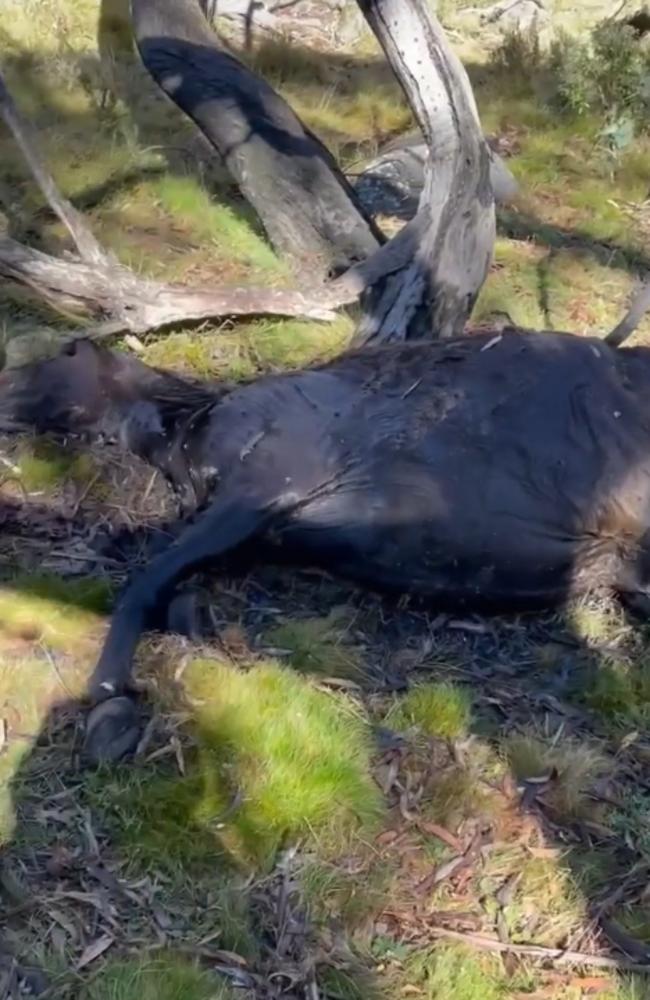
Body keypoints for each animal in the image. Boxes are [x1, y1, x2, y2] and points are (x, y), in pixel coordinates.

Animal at [1, 332, 648, 760]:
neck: (187, 428)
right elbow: (171, 580)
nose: (4, 397)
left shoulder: (265, 483)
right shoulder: (252, 528)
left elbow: (144, 580)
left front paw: (109, 707)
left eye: (47, 360)